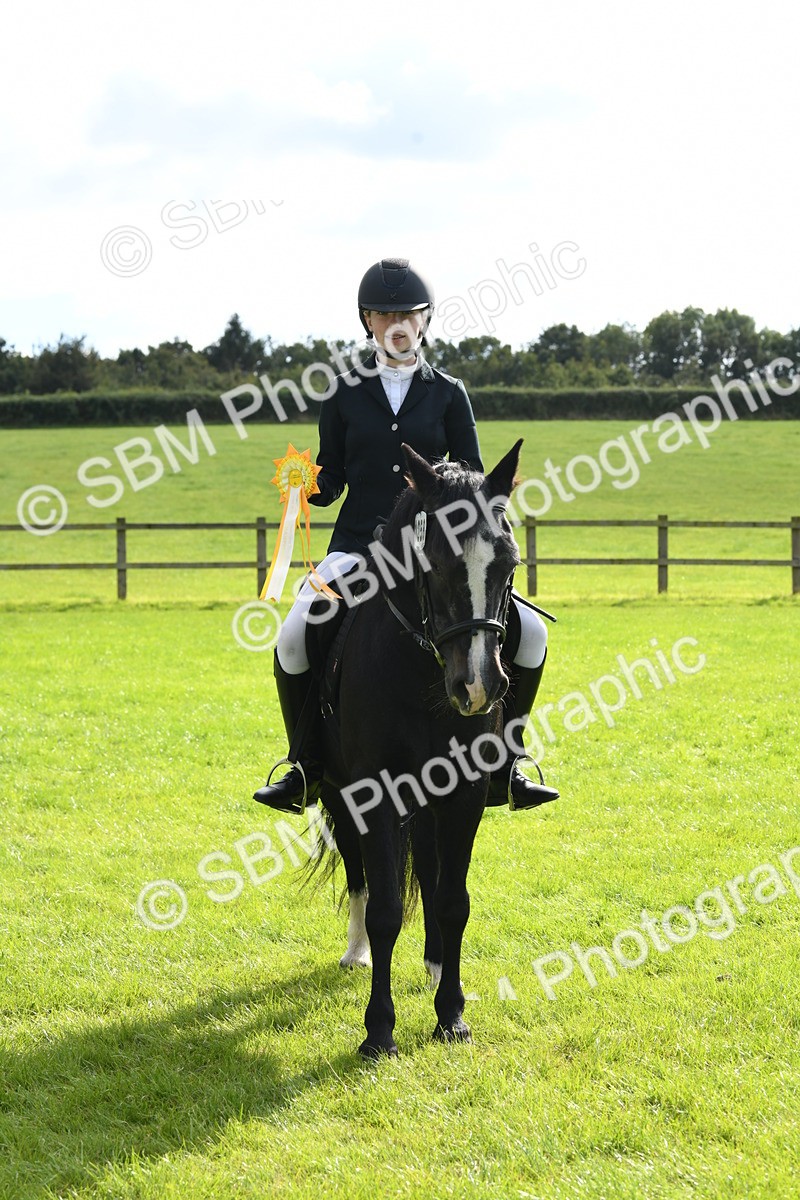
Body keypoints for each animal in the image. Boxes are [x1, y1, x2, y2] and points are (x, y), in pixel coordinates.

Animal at [307, 439, 525, 1058]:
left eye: (509, 564)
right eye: (435, 564)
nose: (478, 687)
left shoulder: (465, 792)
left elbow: (453, 900)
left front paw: (451, 1014)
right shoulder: (372, 792)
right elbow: (383, 910)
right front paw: (378, 1029)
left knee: (428, 870)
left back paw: (433, 965)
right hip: (339, 793)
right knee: (359, 873)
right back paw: (356, 951)